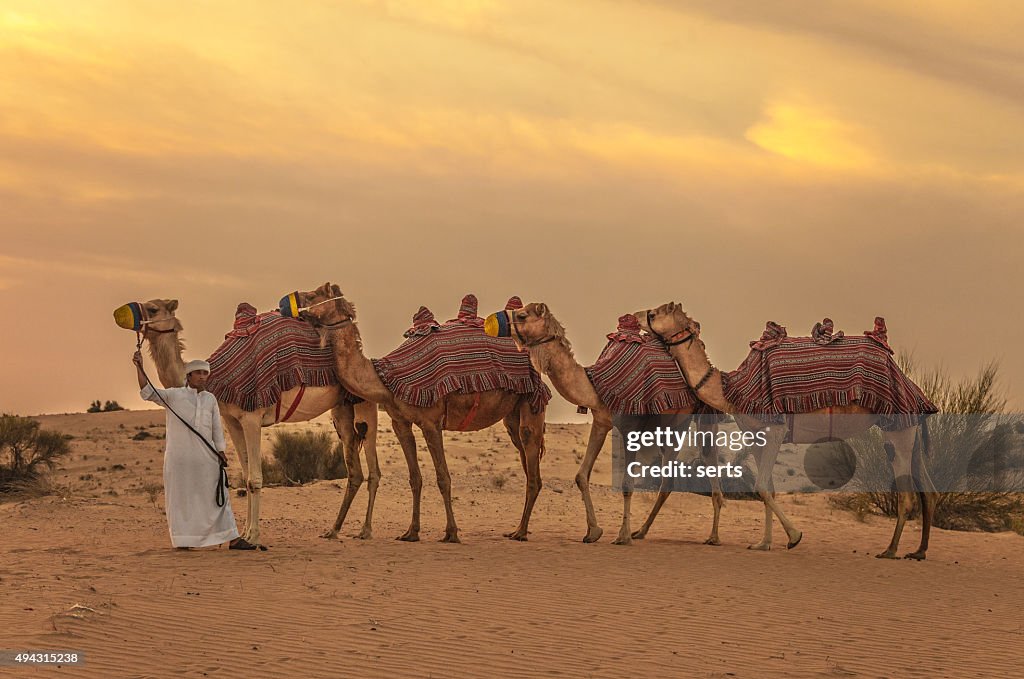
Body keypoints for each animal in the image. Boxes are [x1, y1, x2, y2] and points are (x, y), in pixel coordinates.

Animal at [117, 296, 380, 548]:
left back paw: (366, 531)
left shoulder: (251, 415)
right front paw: (242, 535)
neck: (214, 376)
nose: (120, 314)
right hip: (341, 408)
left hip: (364, 402)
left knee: (373, 467)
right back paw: (333, 530)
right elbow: (245, 476)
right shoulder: (231, 420)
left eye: (152, 309)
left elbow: (255, 478)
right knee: (354, 470)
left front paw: (253, 537)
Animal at [284, 284, 548, 544]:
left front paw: (451, 533)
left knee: (532, 464)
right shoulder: (400, 423)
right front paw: (411, 532)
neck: (386, 380)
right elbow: (415, 478)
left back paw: (520, 532)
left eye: (313, 294)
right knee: (526, 461)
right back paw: (518, 529)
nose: (291, 302)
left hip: (531, 400)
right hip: (511, 414)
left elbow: (443, 477)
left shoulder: (431, 422)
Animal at [483, 303, 724, 548]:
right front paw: (594, 532)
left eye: (522, 315)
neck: (595, 385)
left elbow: (627, 483)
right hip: (672, 424)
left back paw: (713, 536)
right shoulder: (600, 421)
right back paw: (641, 531)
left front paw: (622, 536)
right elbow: (581, 476)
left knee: (708, 460)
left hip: (702, 414)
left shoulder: (629, 426)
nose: (491, 321)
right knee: (668, 478)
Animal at [634, 305, 937, 561]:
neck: (732, 390)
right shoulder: (755, 435)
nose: (636, 316)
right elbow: (767, 488)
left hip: (897, 427)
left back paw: (890, 550)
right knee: (928, 490)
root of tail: (909, 384)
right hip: (907, 427)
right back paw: (919, 552)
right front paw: (764, 543)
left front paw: (794, 536)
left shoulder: (775, 428)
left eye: (656, 312)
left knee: (907, 494)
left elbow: (761, 486)